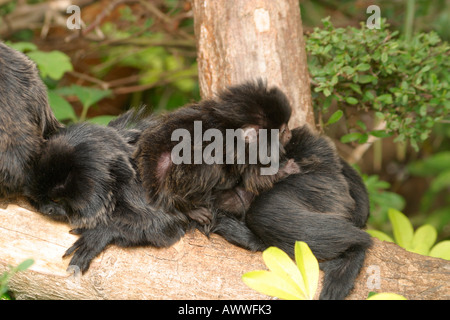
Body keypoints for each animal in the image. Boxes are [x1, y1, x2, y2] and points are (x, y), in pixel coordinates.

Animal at [135, 80, 300, 225]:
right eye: (283, 130)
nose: (289, 134)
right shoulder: (240, 153)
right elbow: (257, 180)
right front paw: (286, 169)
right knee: (209, 166)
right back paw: (187, 208)